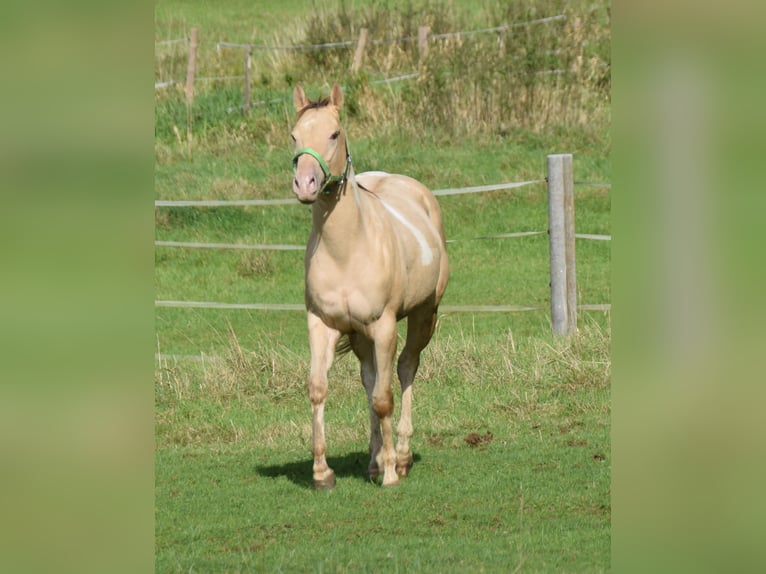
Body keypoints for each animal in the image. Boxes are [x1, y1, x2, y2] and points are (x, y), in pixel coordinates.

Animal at [292, 84, 450, 490]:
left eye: (334, 134)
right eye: (295, 136)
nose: (305, 184)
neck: (347, 249)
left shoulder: (384, 326)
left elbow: (384, 398)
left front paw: (392, 472)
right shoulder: (322, 324)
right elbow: (319, 388)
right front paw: (322, 472)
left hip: (424, 315)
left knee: (406, 368)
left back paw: (402, 456)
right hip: (360, 333)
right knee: (370, 378)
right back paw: (375, 459)